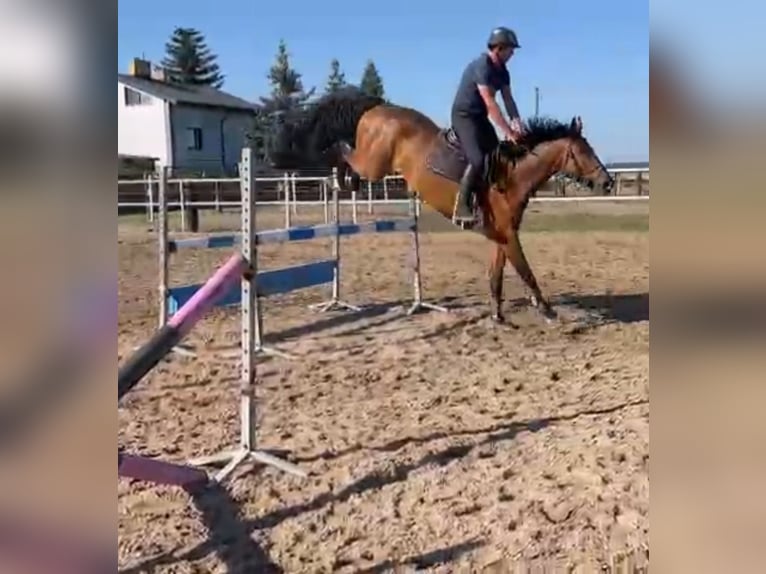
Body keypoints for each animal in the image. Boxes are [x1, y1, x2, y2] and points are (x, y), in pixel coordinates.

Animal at [284, 93, 616, 324]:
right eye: (584, 152)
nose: (608, 182)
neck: (512, 175)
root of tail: (377, 108)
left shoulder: (502, 236)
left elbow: (496, 276)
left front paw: (498, 316)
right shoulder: (510, 237)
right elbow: (526, 272)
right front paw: (546, 310)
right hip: (374, 164)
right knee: (343, 151)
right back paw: (341, 176)